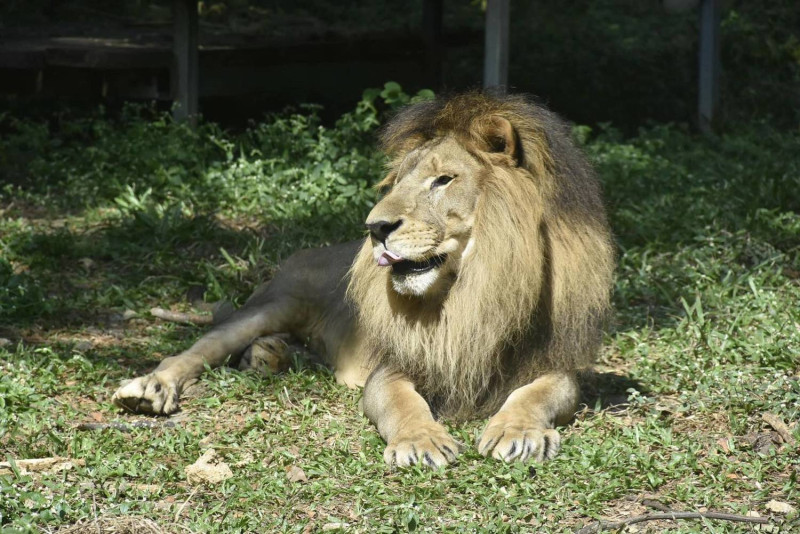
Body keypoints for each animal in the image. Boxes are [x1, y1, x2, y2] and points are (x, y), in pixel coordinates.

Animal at [111, 92, 612, 468]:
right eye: (396, 182)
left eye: (443, 180)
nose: (375, 227)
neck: (474, 289)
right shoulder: (391, 366)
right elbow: (401, 402)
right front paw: (421, 442)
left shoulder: (552, 359)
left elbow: (536, 395)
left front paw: (519, 431)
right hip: (274, 302)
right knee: (200, 348)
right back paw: (152, 388)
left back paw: (269, 357)